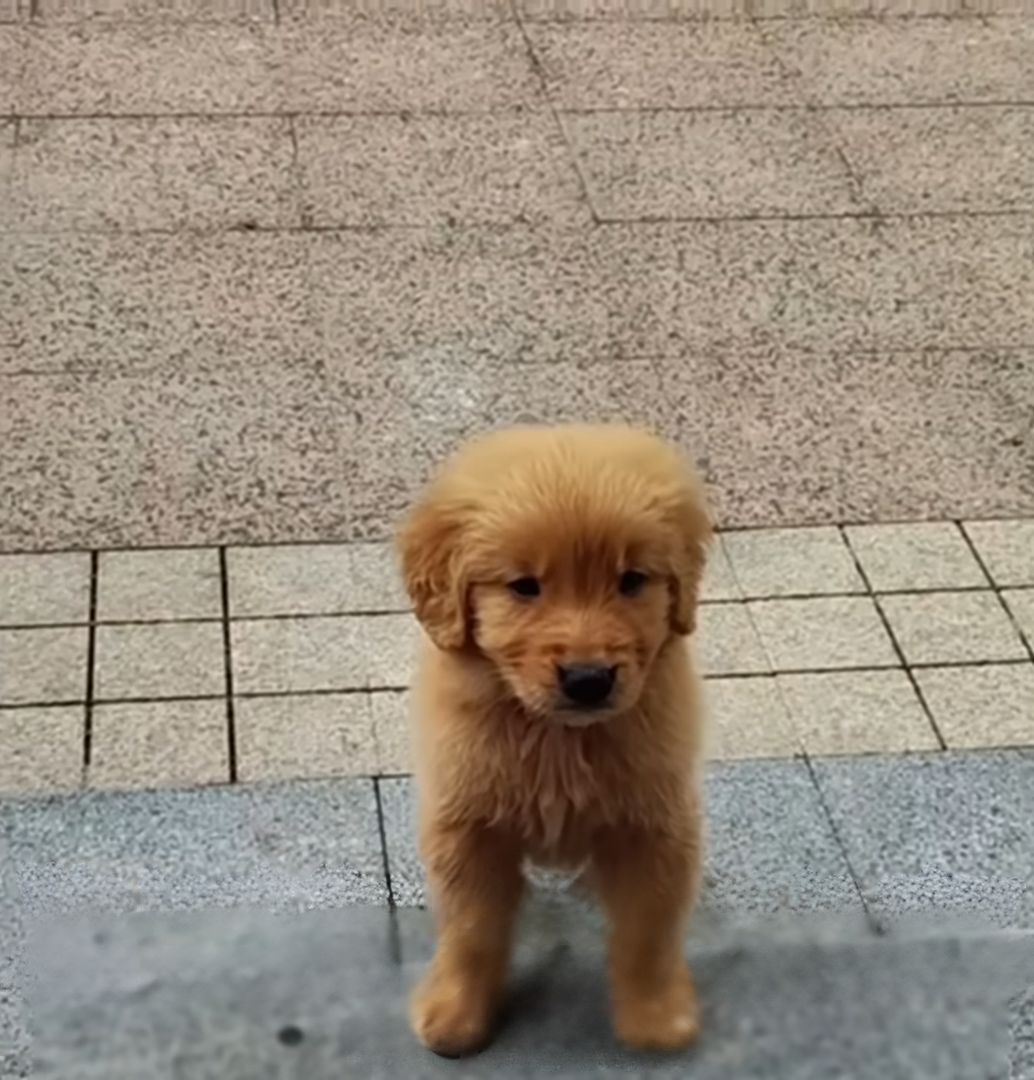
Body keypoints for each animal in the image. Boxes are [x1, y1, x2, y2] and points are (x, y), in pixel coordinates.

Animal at [395, 421, 708, 1054]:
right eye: (524, 586)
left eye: (631, 580)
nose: (588, 679)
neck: (560, 741)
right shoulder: (468, 829)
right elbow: (471, 931)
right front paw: (457, 1015)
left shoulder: (656, 827)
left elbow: (647, 932)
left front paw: (656, 1017)